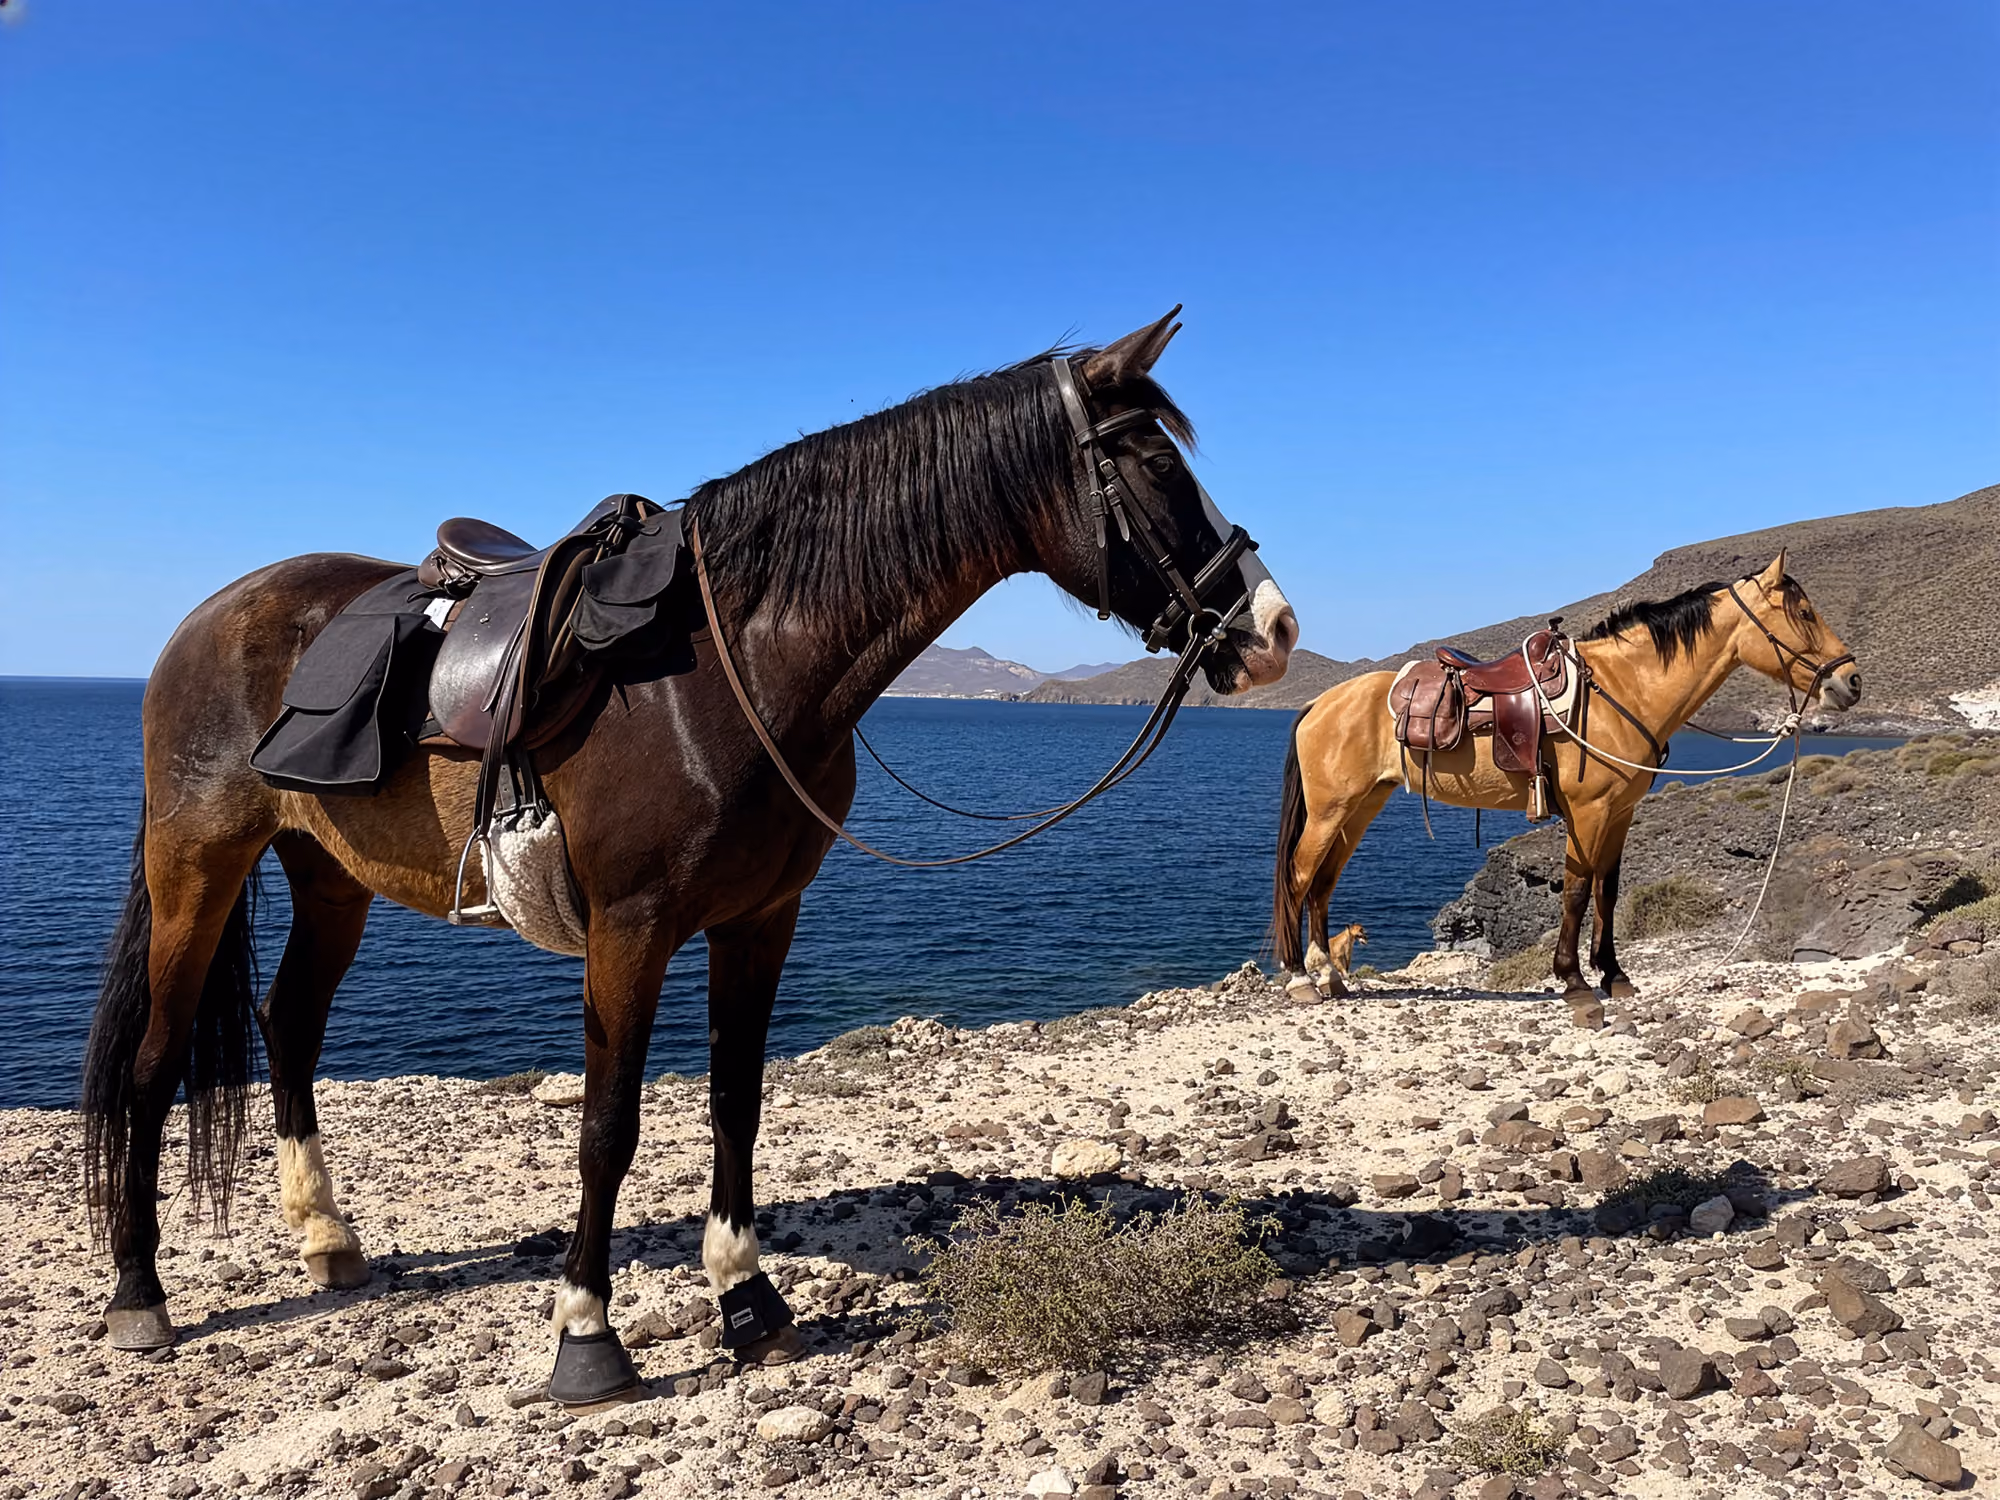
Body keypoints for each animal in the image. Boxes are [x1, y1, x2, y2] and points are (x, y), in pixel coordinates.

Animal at [78, 310, 1298, 1404]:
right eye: (1152, 462)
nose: (1275, 629)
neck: (733, 666)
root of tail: (208, 616)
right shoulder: (631, 929)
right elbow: (608, 1125)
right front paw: (585, 1336)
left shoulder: (760, 919)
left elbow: (736, 1101)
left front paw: (748, 1300)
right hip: (197, 862)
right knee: (154, 1058)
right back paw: (139, 1295)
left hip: (329, 875)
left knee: (287, 1025)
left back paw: (327, 1239)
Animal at [1271, 554, 1859, 1000]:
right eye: (1803, 611)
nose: (1851, 681)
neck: (1622, 689)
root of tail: (1319, 703)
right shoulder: (1588, 810)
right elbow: (1576, 890)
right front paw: (1573, 978)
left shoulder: (1620, 813)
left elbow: (1607, 891)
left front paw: (1614, 974)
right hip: (1330, 811)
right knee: (1300, 877)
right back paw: (1301, 979)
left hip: (1359, 808)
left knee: (1323, 882)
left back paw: (1331, 978)